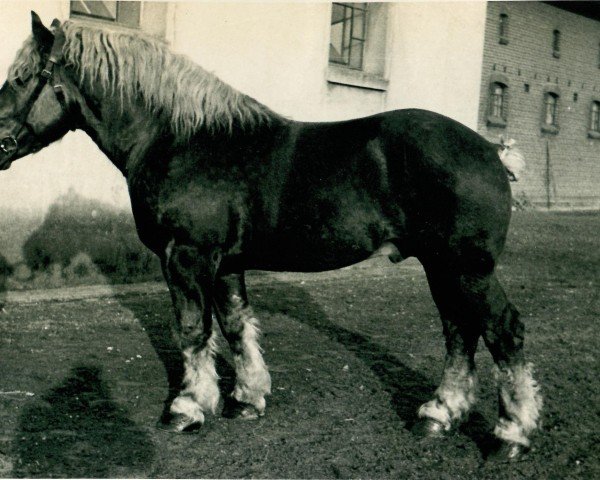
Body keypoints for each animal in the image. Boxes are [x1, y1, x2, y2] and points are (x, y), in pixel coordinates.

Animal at [0, 13, 540, 460]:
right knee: (459, 332)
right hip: (442, 268)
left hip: (466, 269)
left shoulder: (187, 257)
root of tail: (491, 150)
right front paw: (247, 398)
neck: (182, 139)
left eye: (22, 77)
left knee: (502, 332)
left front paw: (188, 408)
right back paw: (439, 415)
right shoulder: (225, 264)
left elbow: (193, 331)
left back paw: (510, 435)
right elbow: (237, 327)